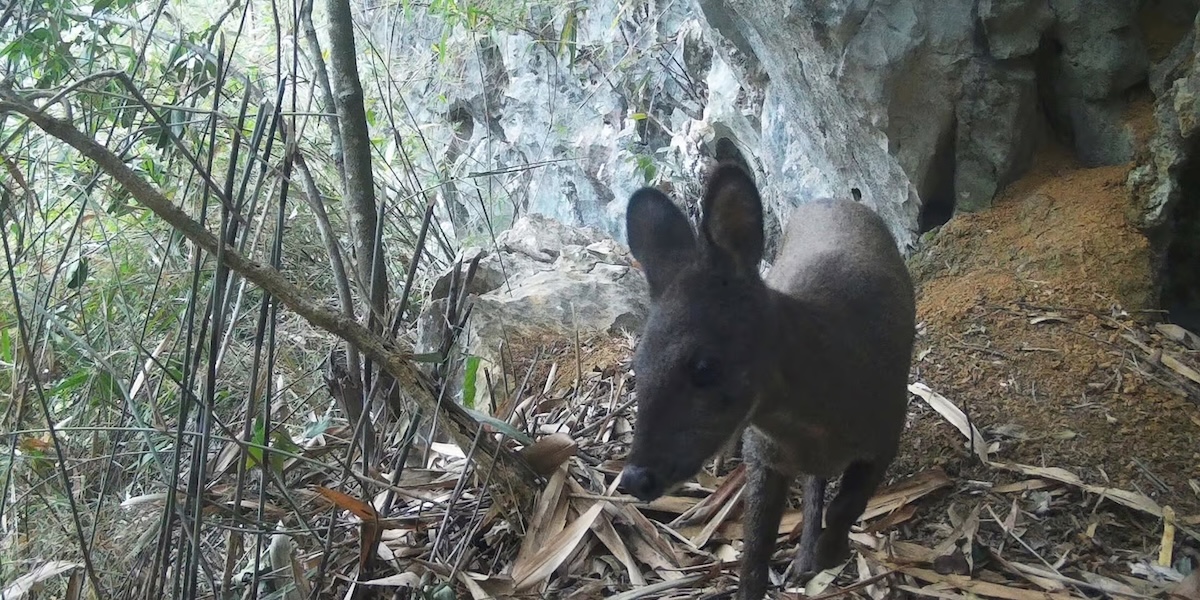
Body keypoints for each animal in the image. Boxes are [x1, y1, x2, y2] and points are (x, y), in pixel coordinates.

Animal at [617, 160, 916, 599]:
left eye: (704, 366)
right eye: (638, 365)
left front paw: (831, 553)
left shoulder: (886, 430)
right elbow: (754, 555)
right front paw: (809, 559)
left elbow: (846, 506)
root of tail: (831, 199)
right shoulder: (762, 458)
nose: (635, 478)